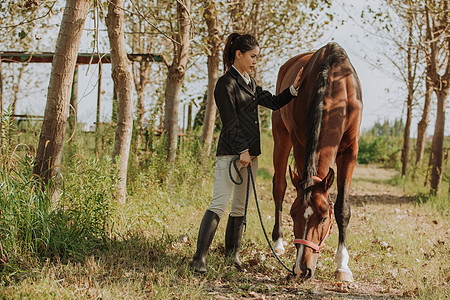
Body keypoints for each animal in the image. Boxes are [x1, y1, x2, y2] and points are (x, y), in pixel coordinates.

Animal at [270, 42, 362, 282]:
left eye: (322, 219)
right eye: (293, 214)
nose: (302, 270)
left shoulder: (351, 150)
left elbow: (342, 208)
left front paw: (342, 266)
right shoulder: (300, 143)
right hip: (281, 139)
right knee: (279, 187)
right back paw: (278, 242)